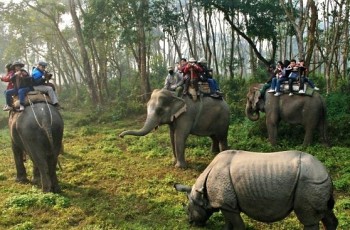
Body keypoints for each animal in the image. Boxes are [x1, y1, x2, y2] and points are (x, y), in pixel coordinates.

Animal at [175, 150, 340, 229]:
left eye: (188, 210)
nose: (190, 222)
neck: (201, 193)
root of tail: (326, 172)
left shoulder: (227, 204)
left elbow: (238, 225)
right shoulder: (226, 204)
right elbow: (228, 224)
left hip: (309, 183)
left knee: (308, 219)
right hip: (316, 183)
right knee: (326, 213)